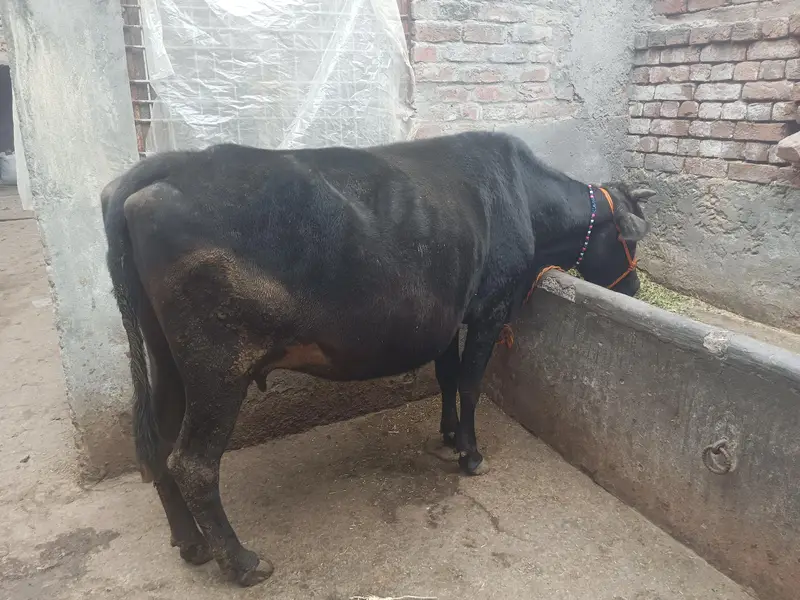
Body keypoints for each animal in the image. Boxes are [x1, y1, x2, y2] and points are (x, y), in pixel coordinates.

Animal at [100, 130, 655, 586]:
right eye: (627, 241)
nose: (634, 289)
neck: (525, 198)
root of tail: (161, 168)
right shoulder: (490, 308)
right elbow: (471, 382)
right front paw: (471, 454)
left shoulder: (448, 317)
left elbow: (447, 376)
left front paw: (448, 434)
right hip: (217, 363)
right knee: (192, 462)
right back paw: (242, 563)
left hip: (166, 358)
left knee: (158, 445)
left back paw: (191, 544)